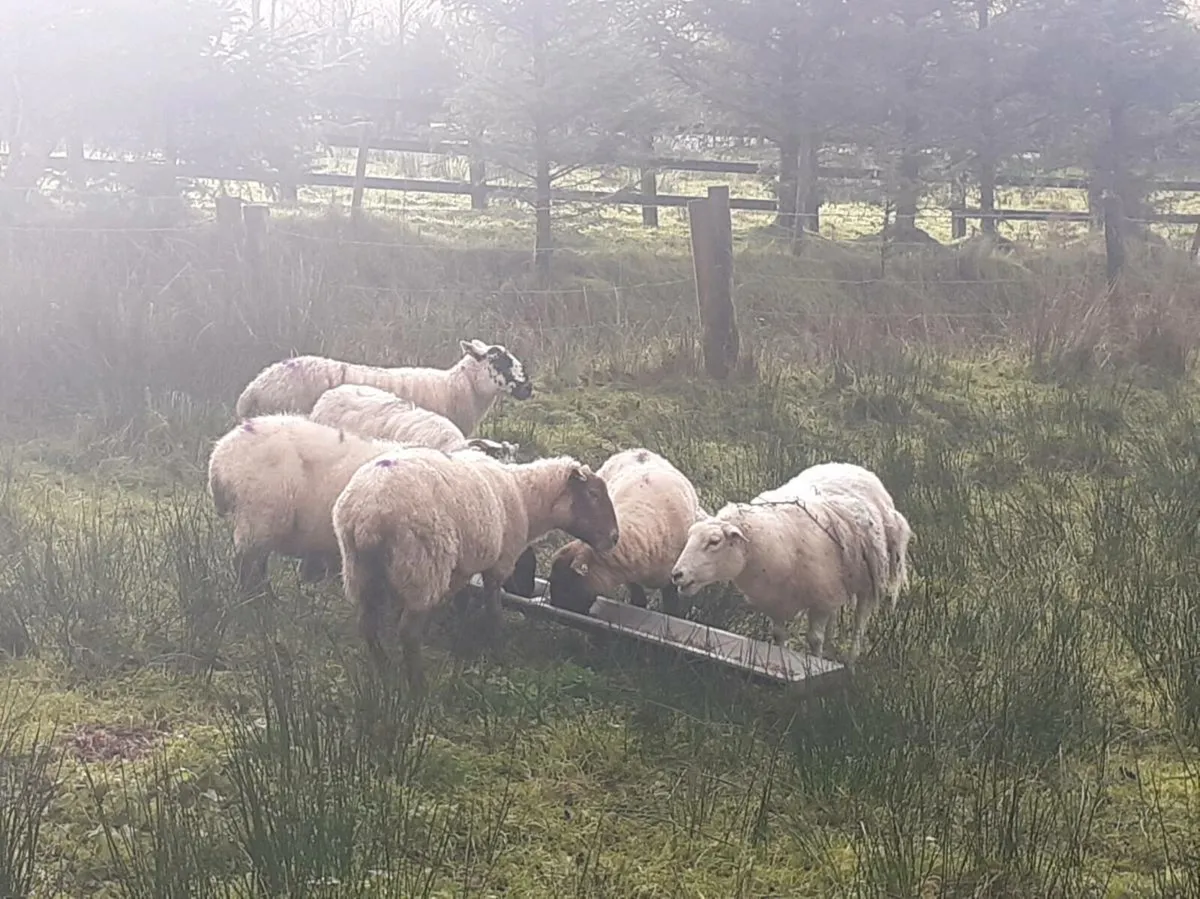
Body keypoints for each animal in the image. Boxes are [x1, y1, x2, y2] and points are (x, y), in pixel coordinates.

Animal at [332, 448, 620, 689]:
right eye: (593, 494)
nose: (615, 537)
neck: (525, 499)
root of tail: (369, 512)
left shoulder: (463, 566)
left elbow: (459, 599)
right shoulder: (499, 562)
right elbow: (493, 606)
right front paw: (498, 644)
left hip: (360, 568)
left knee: (367, 623)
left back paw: (384, 669)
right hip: (423, 567)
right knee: (408, 632)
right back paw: (418, 685)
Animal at [547, 448, 706, 617]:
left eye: (567, 584)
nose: (554, 609)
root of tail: (636, 450)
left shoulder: (672, 578)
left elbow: (671, 608)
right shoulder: (629, 573)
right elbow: (639, 600)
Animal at [669, 486, 889, 662]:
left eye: (714, 541)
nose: (676, 574)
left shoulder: (820, 600)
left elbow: (814, 639)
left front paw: (816, 664)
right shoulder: (777, 602)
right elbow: (778, 636)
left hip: (868, 583)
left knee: (860, 622)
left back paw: (850, 663)